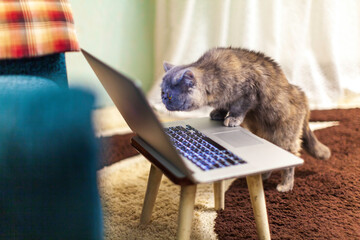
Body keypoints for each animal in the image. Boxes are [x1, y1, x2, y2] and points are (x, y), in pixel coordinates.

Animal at [160, 47, 332, 193]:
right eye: (162, 91)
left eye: (169, 96)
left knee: (290, 162)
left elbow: (239, 108)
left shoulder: (248, 92)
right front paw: (218, 113)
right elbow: (223, 106)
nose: (163, 99)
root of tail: (303, 97)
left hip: (285, 136)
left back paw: (285, 185)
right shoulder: (225, 99)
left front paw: (232, 118)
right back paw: (263, 176)